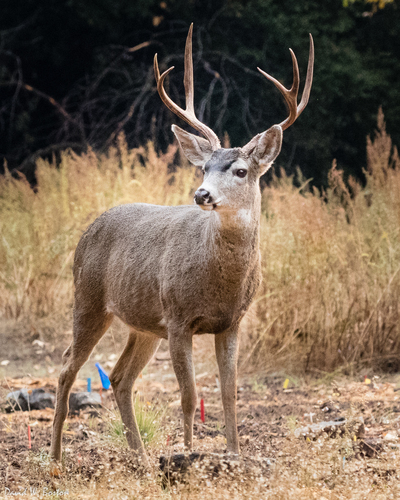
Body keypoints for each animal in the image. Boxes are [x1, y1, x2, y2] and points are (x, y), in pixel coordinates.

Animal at [49, 25, 312, 466]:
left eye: (240, 171)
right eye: (204, 167)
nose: (202, 194)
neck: (219, 281)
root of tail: (88, 229)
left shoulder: (232, 322)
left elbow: (229, 395)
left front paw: (233, 454)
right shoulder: (177, 318)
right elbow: (188, 396)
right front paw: (188, 455)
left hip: (143, 321)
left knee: (119, 376)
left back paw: (139, 457)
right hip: (89, 297)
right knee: (69, 365)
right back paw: (54, 457)